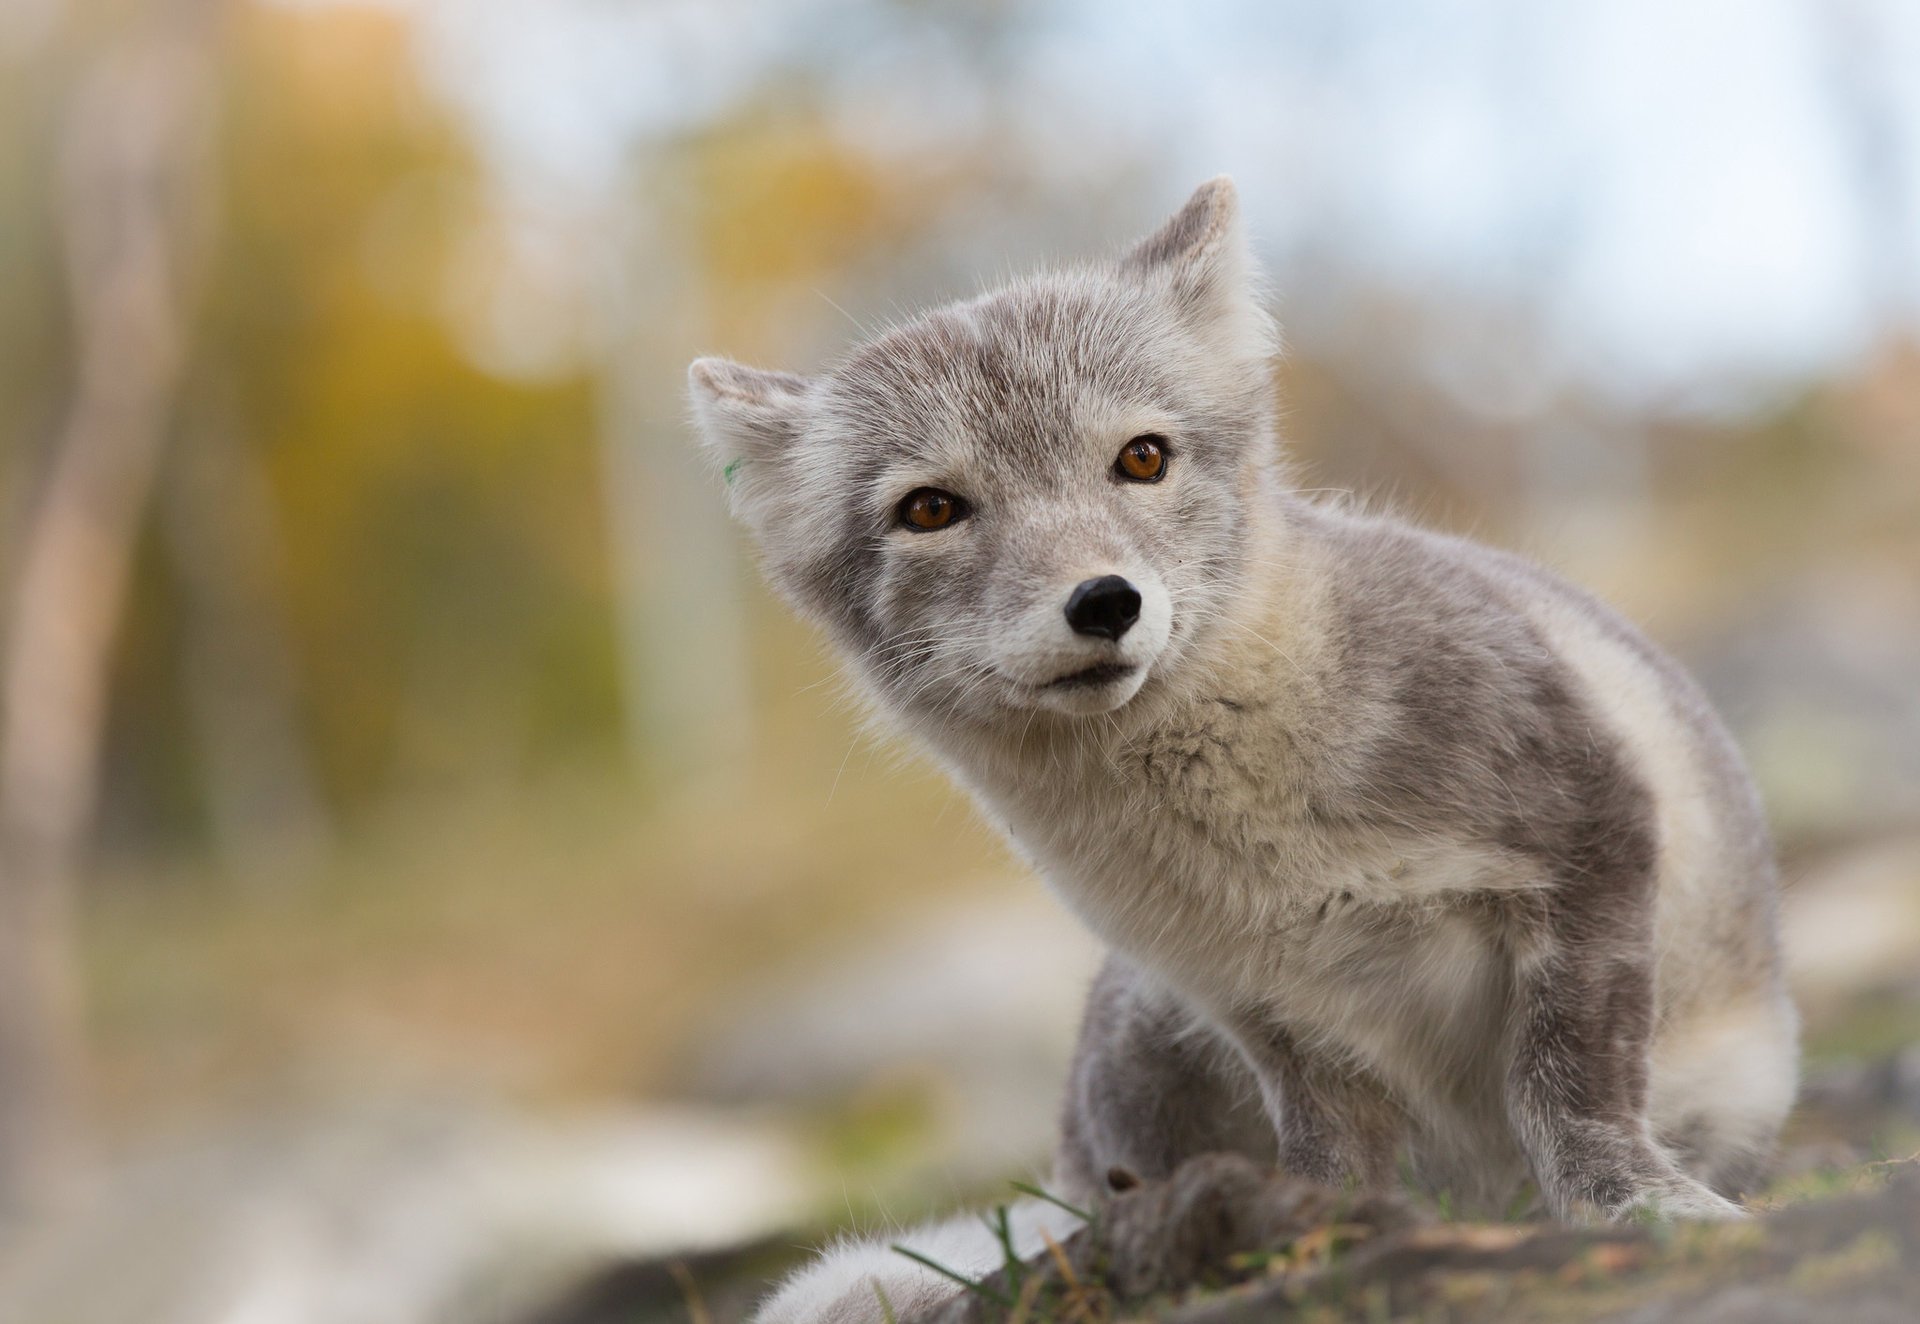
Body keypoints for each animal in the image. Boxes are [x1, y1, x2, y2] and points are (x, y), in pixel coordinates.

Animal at [688, 178, 1799, 1323]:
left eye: (1142, 456)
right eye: (930, 509)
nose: (1104, 601)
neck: (1260, 837)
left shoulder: (1589, 832)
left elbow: (1568, 1081)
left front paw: (1633, 1204)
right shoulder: (1267, 1008)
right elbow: (1326, 1163)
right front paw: (1315, 1244)